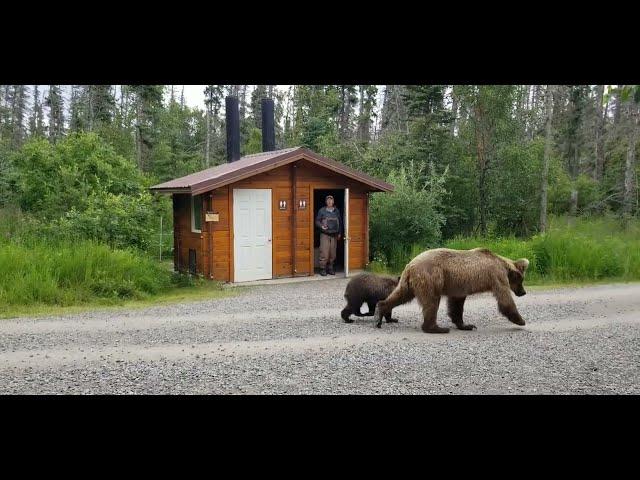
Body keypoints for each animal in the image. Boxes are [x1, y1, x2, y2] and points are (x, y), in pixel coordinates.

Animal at [370, 248, 528, 334]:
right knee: (431, 301)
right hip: (431, 277)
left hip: (409, 283)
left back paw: (379, 313)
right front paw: (521, 320)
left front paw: (466, 325)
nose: (523, 292)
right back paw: (437, 328)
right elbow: (504, 298)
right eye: (521, 280)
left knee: (400, 295)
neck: (502, 264)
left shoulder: (459, 286)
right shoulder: (496, 276)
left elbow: (456, 305)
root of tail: (410, 265)